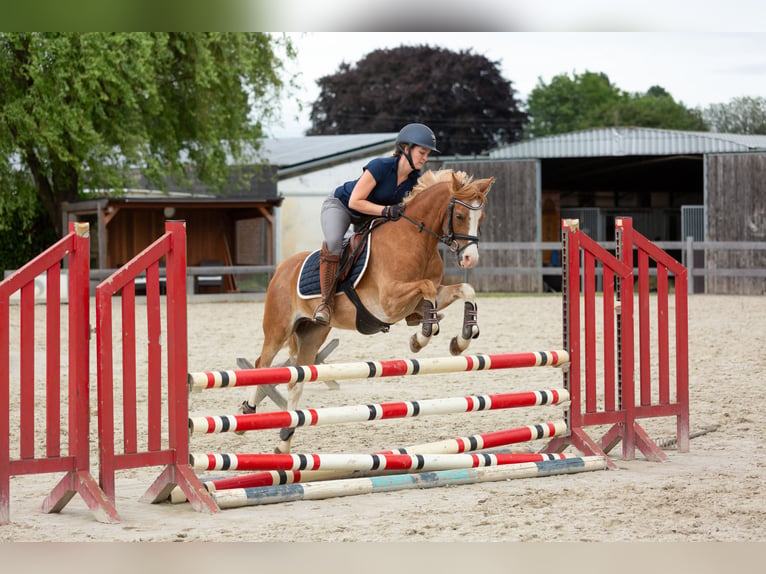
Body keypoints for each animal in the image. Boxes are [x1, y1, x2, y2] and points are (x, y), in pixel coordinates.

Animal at [246, 168, 498, 454]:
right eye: (459, 216)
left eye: (481, 217)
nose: (470, 259)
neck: (416, 240)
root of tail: (281, 268)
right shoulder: (389, 302)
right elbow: (426, 289)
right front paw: (421, 336)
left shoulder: (425, 296)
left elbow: (465, 289)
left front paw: (461, 339)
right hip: (278, 329)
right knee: (261, 364)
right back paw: (248, 411)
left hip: (312, 334)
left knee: (296, 380)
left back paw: (284, 442)